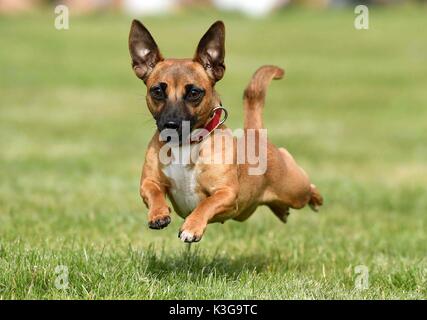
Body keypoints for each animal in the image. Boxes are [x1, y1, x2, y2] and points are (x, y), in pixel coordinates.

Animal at [129, 19, 322, 242]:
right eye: (157, 91)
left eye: (194, 93)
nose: (170, 125)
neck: (186, 145)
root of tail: (255, 134)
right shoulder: (149, 182)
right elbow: (153, 191)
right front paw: (158, 214)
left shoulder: (226, 193)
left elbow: (206, 203)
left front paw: (192, 227)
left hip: (295, 190)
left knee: (307, 188)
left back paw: (316, 198)